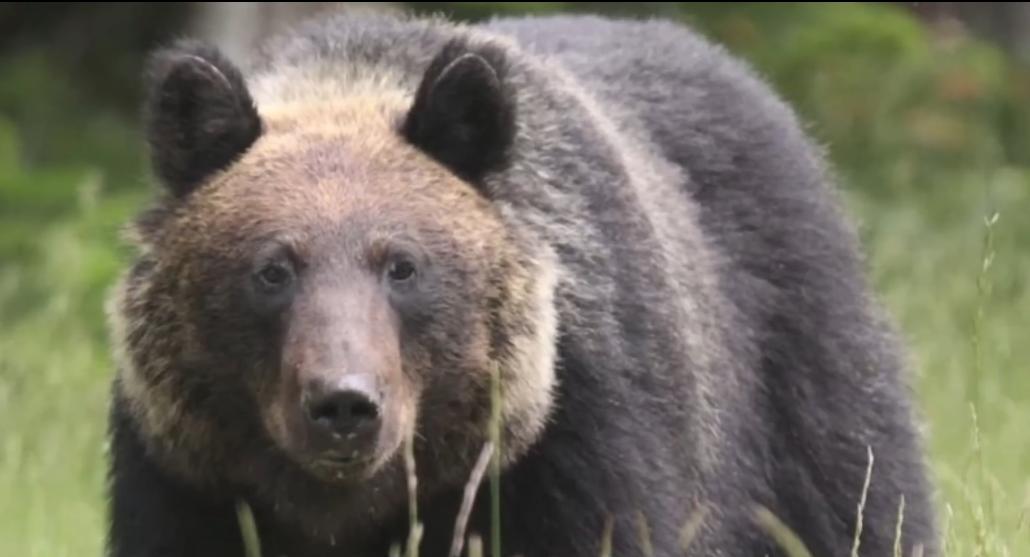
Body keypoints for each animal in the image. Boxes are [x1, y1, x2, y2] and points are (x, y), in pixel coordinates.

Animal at [104, 9, 943, 555]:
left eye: (403, 264)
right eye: (273, 267)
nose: (344, 404)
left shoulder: (574, 444)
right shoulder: (184, 472)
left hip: (795, 373)